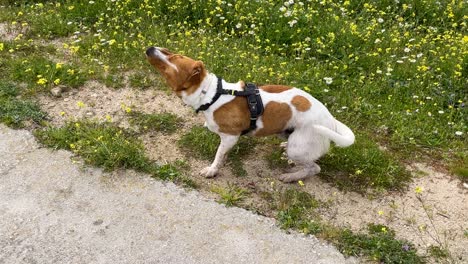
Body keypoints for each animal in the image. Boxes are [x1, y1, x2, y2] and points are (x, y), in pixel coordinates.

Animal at [146, 47, 354, 183]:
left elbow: (218, 155)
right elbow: (222, 154)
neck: (212, 94)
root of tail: (330, 121)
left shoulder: (230, 137)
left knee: (314, 168)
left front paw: (212, 170)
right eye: (170, 51)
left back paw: (291, 177)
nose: (150, 48)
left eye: (172, 60)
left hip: (299, 148)